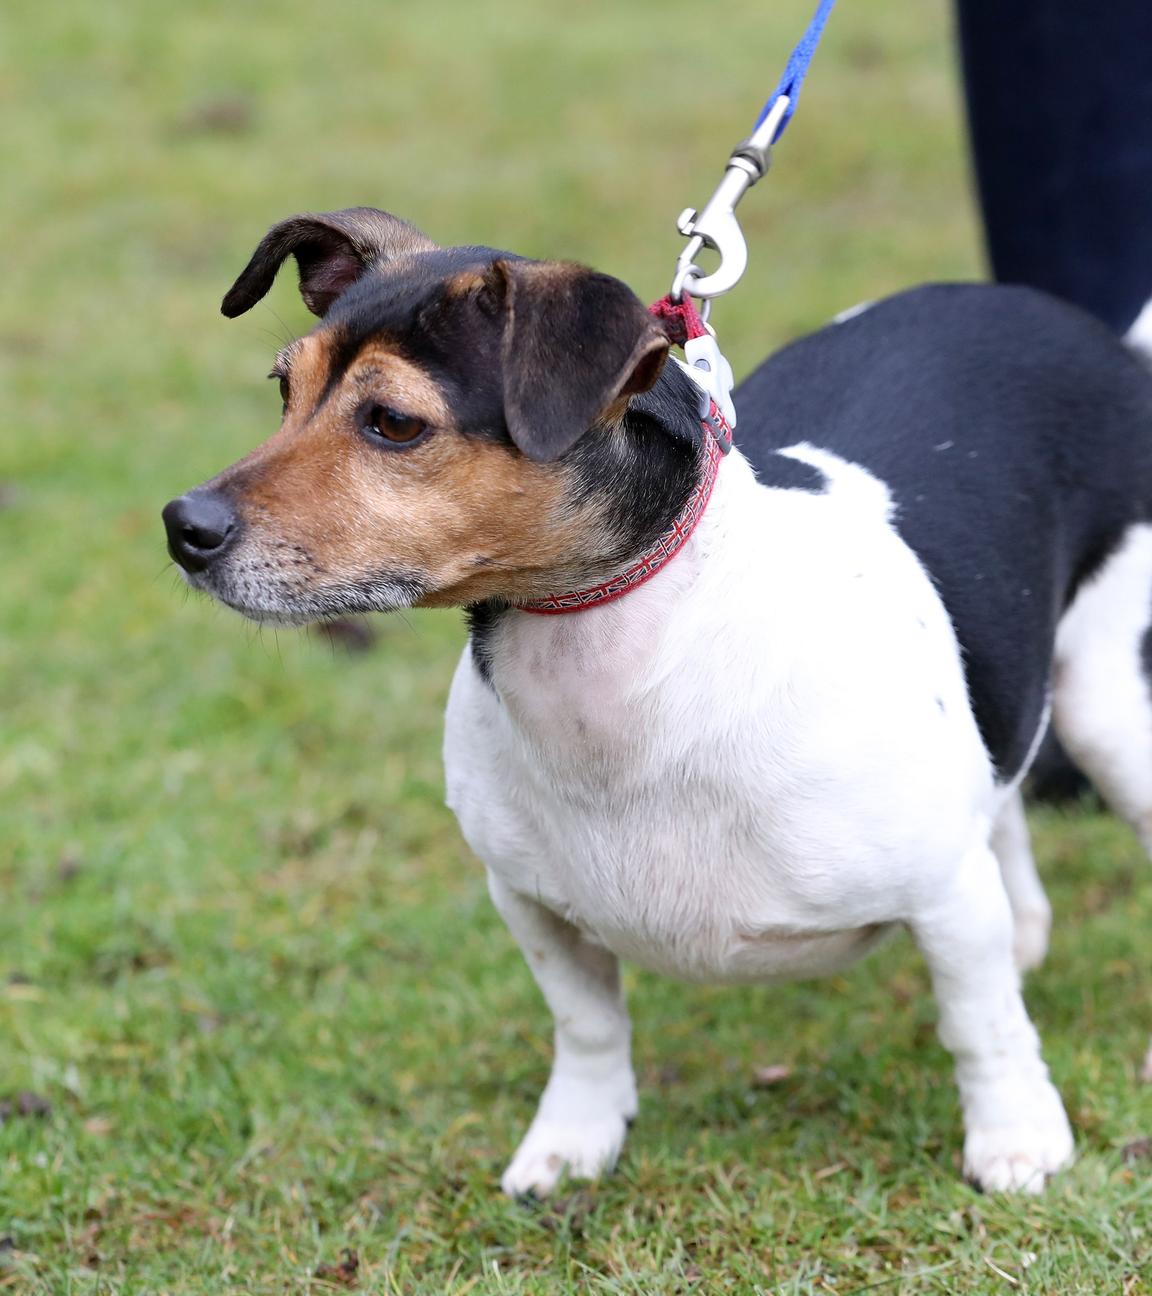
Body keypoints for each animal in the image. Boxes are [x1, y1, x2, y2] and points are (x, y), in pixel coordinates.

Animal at [161, 209, 1150, 1192]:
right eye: (283, 389)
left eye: (394, 423)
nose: (182, 526)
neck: (622, 665)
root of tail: (1088, 334)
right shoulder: (532, 904)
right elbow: (588, 1028)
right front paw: (574, 1141)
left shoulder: (945, 895)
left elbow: (982, 1026)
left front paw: (1016, 1137)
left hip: (1108, 711)